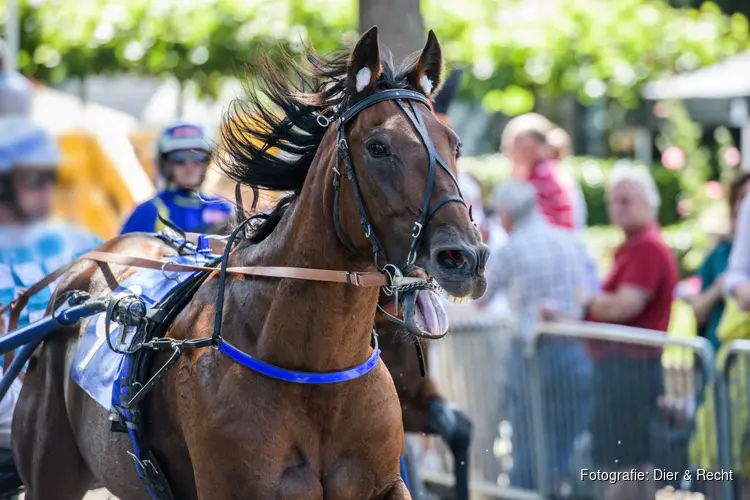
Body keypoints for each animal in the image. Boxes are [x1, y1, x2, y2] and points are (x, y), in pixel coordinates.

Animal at [13, 28, 494, 500]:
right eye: (378, 147)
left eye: (455, 145)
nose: (464, 257)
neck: (314, 371)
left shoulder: (384, 477)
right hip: (49, 473)